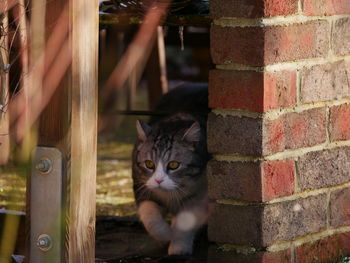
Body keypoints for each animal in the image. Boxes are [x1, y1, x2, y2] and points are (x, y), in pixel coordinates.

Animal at [131, 84, 208, 256]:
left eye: (173, 165)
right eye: (149, 164)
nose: (159, 180)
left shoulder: (204, 197)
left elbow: (186, 221)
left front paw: (179, 246)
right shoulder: (142, 188)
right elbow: (150, 216)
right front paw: (166, 234)